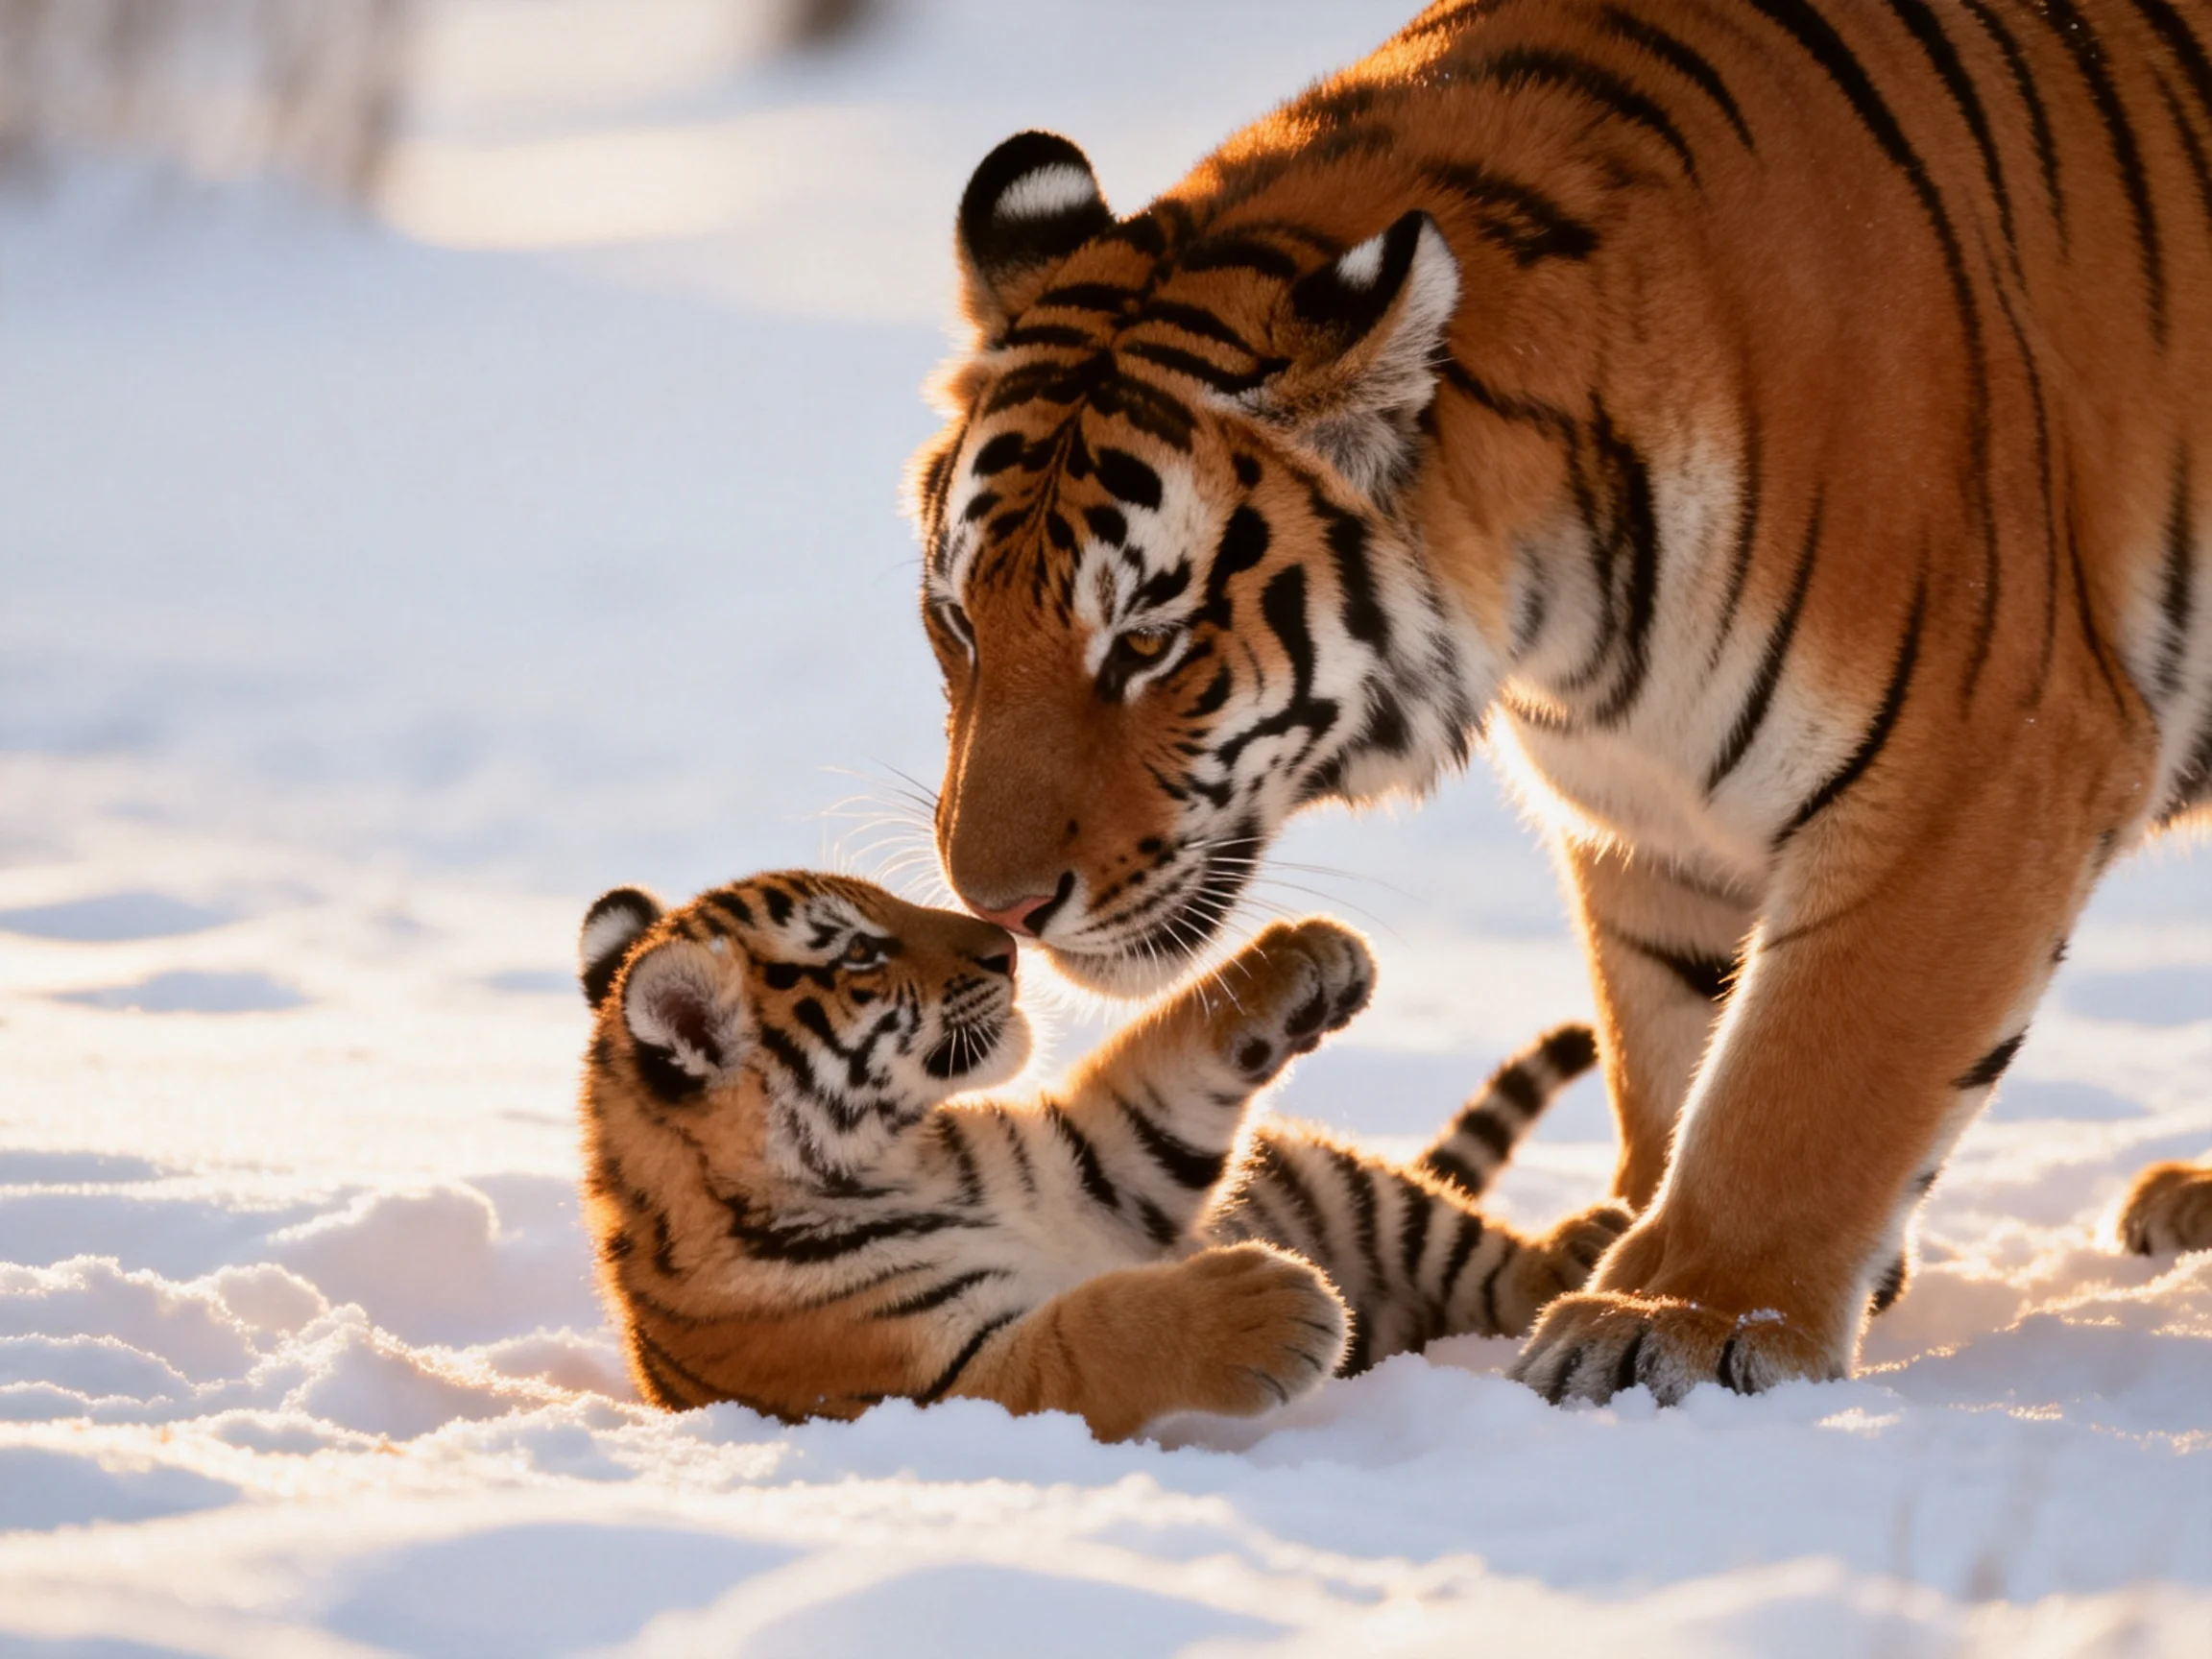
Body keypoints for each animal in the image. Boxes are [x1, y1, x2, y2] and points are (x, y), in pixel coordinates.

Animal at [573, 871, 1626, 1440]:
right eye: (859, 954)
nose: (1003, 945)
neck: (897, 1156)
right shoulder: (953, 1378)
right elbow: (1101, 1330)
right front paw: (1273, 1309)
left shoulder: (1100, 1166)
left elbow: (1169, 1050)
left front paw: (1301, 959)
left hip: (1346, 1185)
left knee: (1499, 1269)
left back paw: (1592, 1257)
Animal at [904, 0, 2211, 1406]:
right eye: (959, 622)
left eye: (1146, 642)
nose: (999, 907)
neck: (1568, 613)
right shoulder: (1650, 822)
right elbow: (1678, 1047)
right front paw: (1628, 1240)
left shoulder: (1973, 768)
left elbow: (1805, 1077)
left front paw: (1685, 1313)